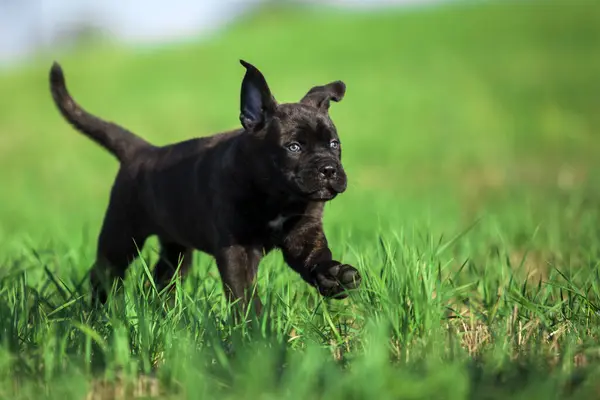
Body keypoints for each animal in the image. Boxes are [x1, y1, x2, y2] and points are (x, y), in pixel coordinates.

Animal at [49, 59, 360, 310]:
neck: (278, 196)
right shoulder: (237, 250)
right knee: (104, 274)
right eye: (294, 147)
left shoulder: (303, 234)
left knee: (163, 277)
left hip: (175, 246)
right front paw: (257, 331)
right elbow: (244, 295)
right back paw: (99, 314)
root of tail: (142, 151)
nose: (329, 168)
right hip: (121, 235)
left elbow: (316, 257)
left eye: (334, 144)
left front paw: (334, 277)